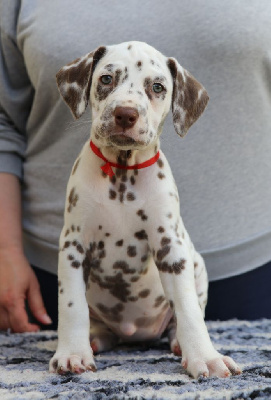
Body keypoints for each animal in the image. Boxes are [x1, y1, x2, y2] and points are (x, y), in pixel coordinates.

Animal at [49, 42, 242, 380]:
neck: (123, 172)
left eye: (157, 87)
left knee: (183, 316)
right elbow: (72, 306)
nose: (125, 114)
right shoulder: (74, 246)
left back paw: (179, 343)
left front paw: (205, 357)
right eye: (107, 79)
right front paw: (72, 353)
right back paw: (94, 339)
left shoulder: (171, 247)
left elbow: (189, 309)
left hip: (197, 264)